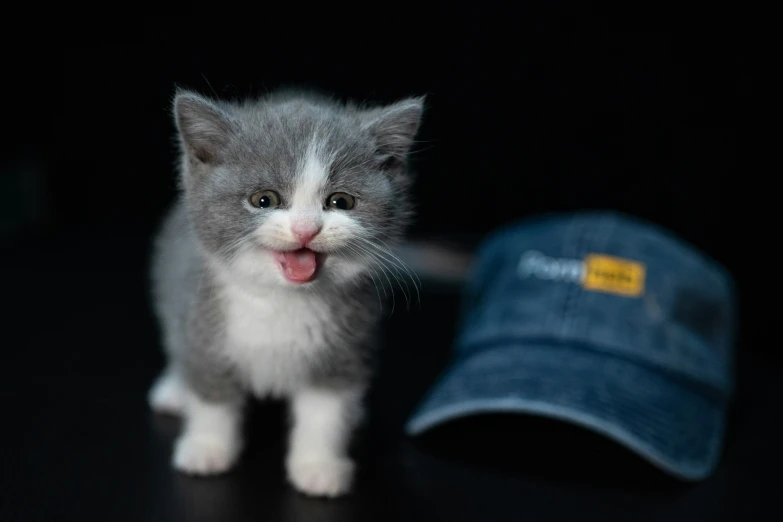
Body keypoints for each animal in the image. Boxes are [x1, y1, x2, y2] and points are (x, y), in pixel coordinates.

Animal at [149, 88, 426, 496]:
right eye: (263, 200)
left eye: (341, 202)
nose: (305, 228)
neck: (280, 300)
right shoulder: (202, 323)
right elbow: (212, 393)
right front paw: (207, 448)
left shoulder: (346, 344)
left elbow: (326, 410)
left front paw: (318, 467)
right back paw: (174, 389)